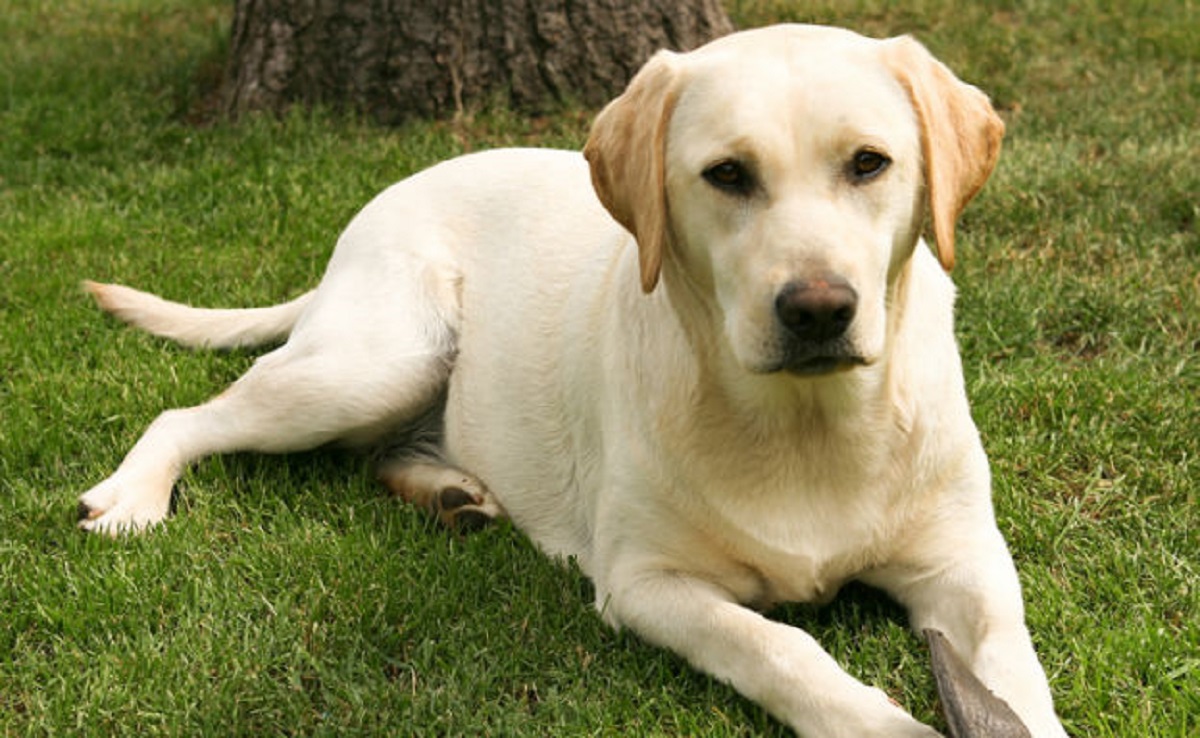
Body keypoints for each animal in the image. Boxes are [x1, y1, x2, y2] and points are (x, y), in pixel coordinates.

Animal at [79, 24, 1065, 738]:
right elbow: (779, 648)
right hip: (378, 360)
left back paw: (452, 494)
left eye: (869, 162)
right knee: (190, 415)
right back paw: (132, 496)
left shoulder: (967, 565)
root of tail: (373, 212)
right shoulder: (647, 583)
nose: (818, 309)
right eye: (728, 174)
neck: (806, 423)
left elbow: (1016, 674)